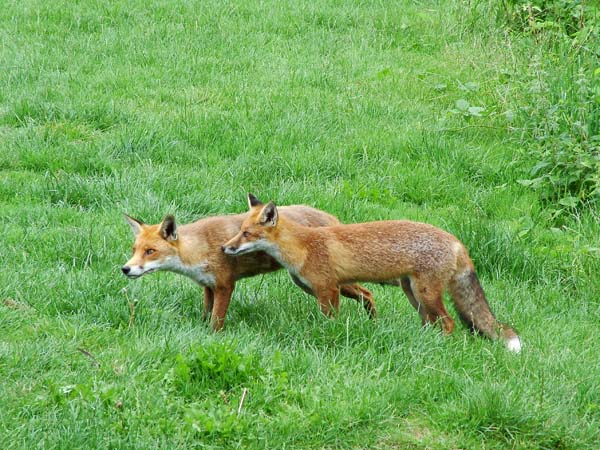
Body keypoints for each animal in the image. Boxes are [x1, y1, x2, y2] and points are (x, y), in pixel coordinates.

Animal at [122, 197, 376, 330]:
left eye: (150, 251)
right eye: (134, 250)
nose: (125, 269)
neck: (199, 248)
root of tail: (330, 217)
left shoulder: (225, 285)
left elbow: (216, 320)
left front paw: (212, 338)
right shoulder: (208, 287)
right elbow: (206, 315)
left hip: (325, 282)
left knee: (368, 293)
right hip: (306, 283)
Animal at [223, 195, 524, 354]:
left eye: (247, 234)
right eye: (239, 230)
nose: (225, 247)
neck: (304, 247)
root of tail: (457, 242)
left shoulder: (328, 289)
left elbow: (330, 322)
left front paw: (329, 336)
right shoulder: (328, 288)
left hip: (426, 293)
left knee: (448, 322)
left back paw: (439, 347)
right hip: (412, 293)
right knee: (431, 322)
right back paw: (422, 343)